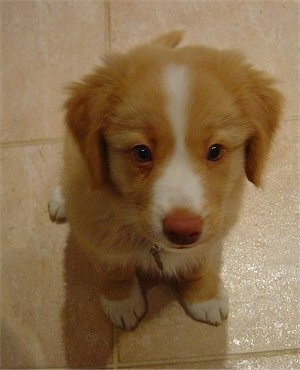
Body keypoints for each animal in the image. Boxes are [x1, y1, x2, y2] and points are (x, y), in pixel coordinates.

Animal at [48, 31, 282, 330]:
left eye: (215, 151)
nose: (182, 230)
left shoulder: (213, 229)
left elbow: (196, 266)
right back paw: (60, 199)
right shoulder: (98, 234)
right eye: (142, 152)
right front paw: (122, 301)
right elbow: (115, 269)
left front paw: (204, 297)